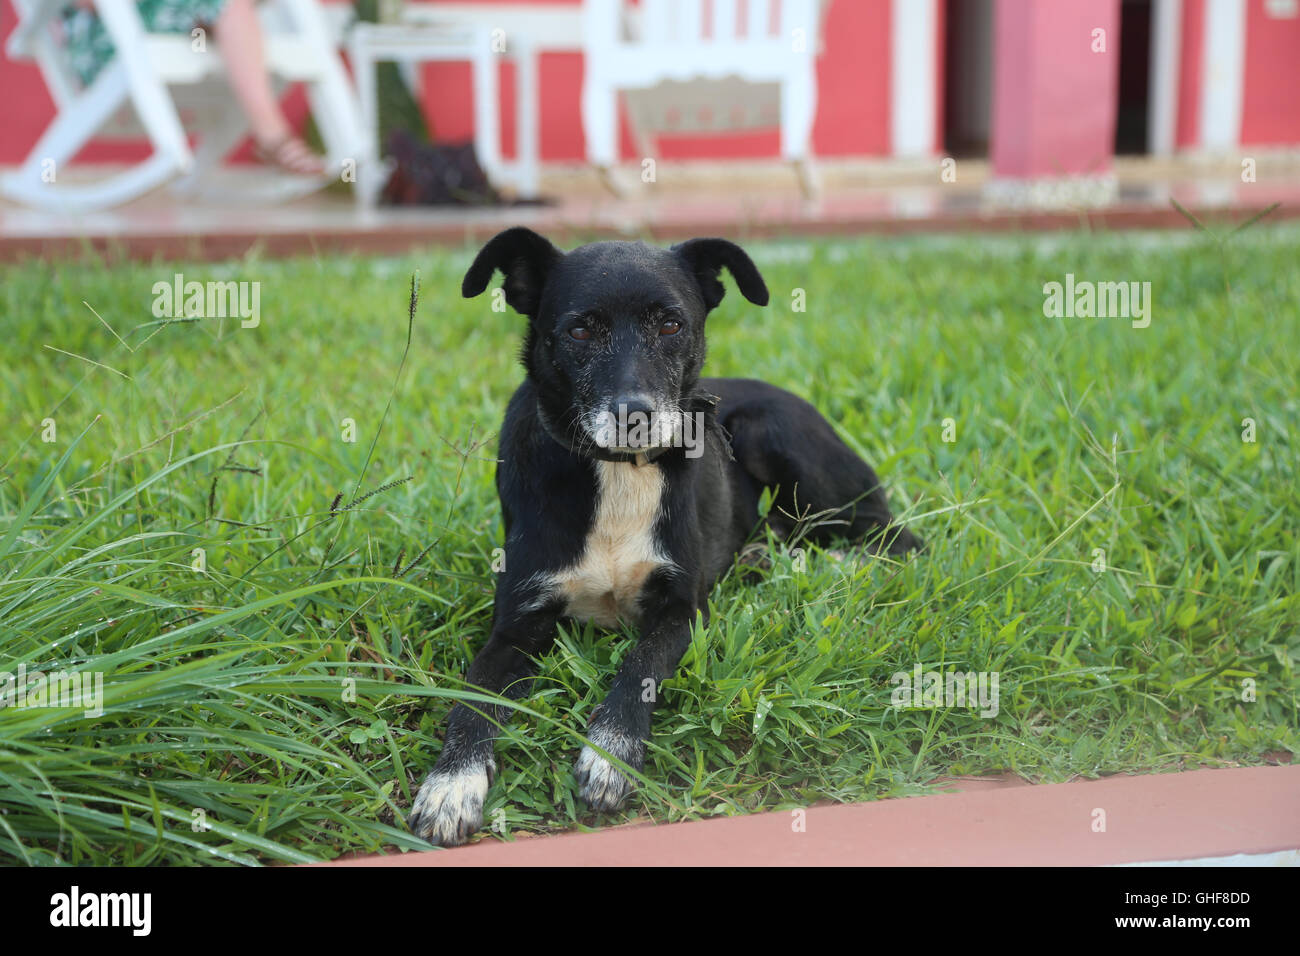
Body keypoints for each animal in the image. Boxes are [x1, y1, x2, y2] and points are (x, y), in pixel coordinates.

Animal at [408, 230, 925, 842]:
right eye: (580, 330)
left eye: (672, 324)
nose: (635, 415)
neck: (619, 473)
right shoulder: (516, 624)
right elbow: (471, 697)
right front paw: (450, 785)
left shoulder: (683, 609)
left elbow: (640, 667)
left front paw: (609, 755)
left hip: (773, 430)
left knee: (896, 537)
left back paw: (834, 564)